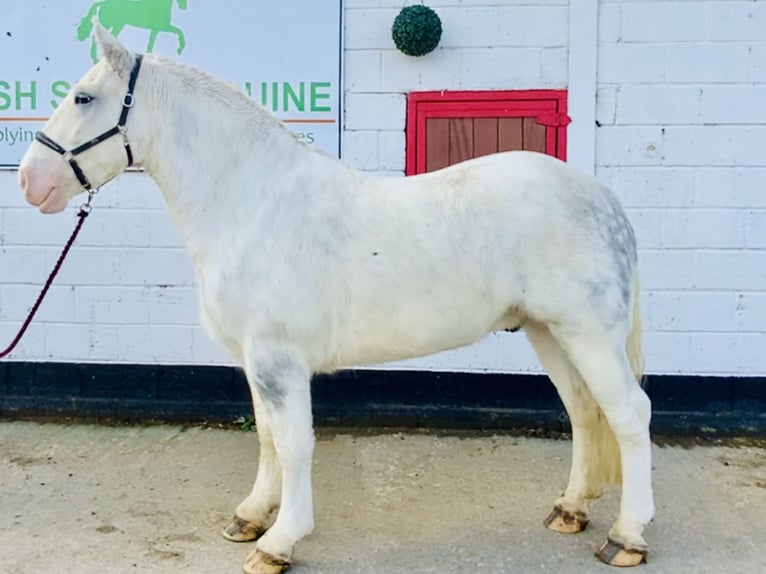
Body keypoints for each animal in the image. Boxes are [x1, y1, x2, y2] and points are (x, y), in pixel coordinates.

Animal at [16, 23, 656, 574]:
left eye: (83, 97)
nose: (30, 181)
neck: (250, 204)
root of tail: (604, 198)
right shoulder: (255, 361)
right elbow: (268, 439)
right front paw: (250, 518)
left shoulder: (279, 360)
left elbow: (295, 445)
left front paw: (278, 542)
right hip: (549, 332)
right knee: (583, 411)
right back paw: (570, 510)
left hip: (588, 334)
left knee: (629, 414)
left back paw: (626, 537)